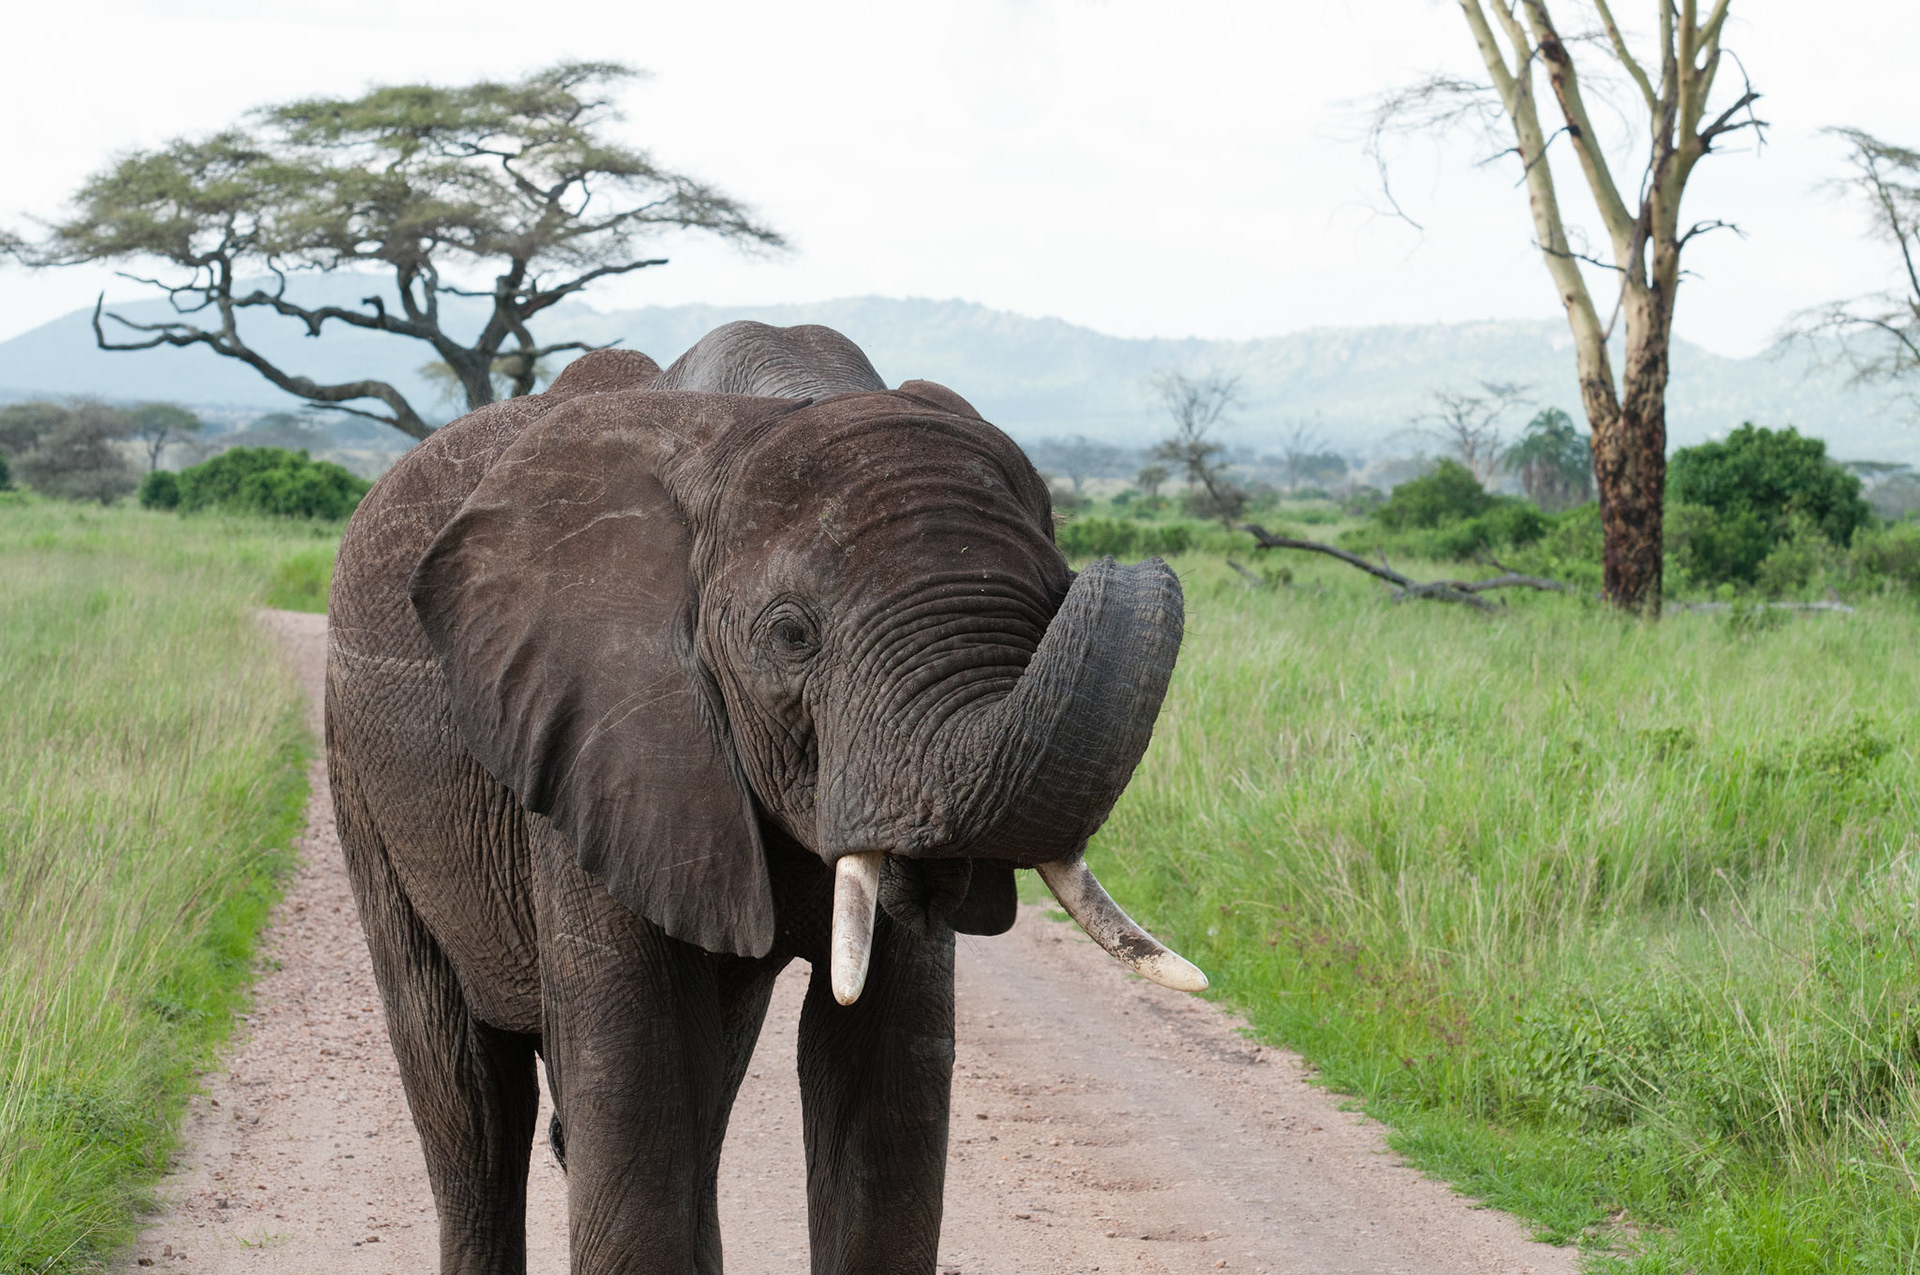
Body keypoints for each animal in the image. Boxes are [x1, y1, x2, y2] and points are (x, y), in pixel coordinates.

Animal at [324, 320, 1203, 1275]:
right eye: (791, 635)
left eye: (1050, 602)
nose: (1125, 561)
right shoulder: (599, 726)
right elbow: (633, 1082)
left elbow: (889, 1083)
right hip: (359, 772)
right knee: (470, 1102)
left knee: (704, 1098)